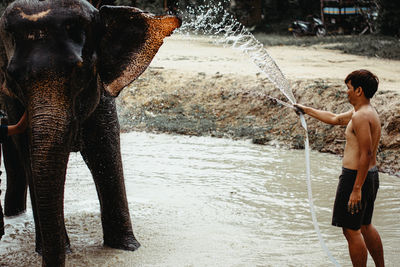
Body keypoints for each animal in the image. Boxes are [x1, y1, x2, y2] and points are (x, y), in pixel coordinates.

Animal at [0, 1, 180, 266]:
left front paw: (127, 248)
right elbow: (29, 153)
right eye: (13, 77)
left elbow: (104, 148)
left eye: (80, 72)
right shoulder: (12, 100)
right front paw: (55, 250)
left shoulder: (102, 91)